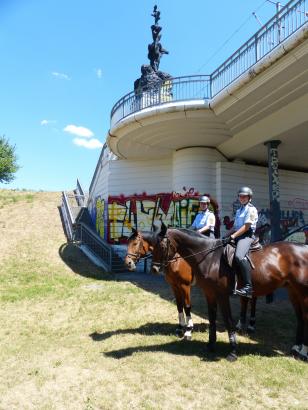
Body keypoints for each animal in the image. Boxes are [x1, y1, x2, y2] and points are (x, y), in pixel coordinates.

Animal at [124, 229, 258, 342]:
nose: (128, 263)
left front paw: (188, 330)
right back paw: (245, 324)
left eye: (135, 243)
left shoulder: (185, 286)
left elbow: (187, 306)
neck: (176, 258)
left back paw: (250, 325)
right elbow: (179, 306)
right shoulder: (174, 286)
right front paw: (180, 327)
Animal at [150, 224, 308, 362]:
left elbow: (228, 321)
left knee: (305, 318)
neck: (209, 257)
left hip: (303, 293)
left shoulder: (222, 295)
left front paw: (232, 352)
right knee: (301, 319)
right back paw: (296, 349)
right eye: (152, 246)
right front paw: (211, 345)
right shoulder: (209, 293)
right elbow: (212, 319)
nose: (154, 269)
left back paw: (304, 353)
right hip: (293, 292)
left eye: (162, 246)